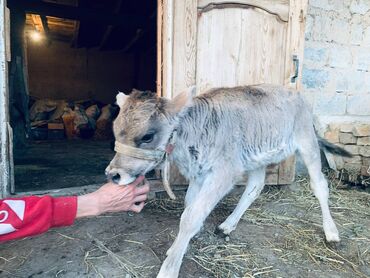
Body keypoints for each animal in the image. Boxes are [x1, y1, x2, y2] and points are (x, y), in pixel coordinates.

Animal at [105, 84, 350, 278]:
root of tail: (295, 92)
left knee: (319, 185)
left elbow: (190, 216)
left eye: (147, 136)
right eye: (115, 131)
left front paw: (169, 268)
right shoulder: (199, 173)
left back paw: (332, 232)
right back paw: (227, 225)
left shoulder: (223, 173)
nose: (113, 174)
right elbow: (190, 206)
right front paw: (181, 246)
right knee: (255, 186)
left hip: (307, 142)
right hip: (257, 155)